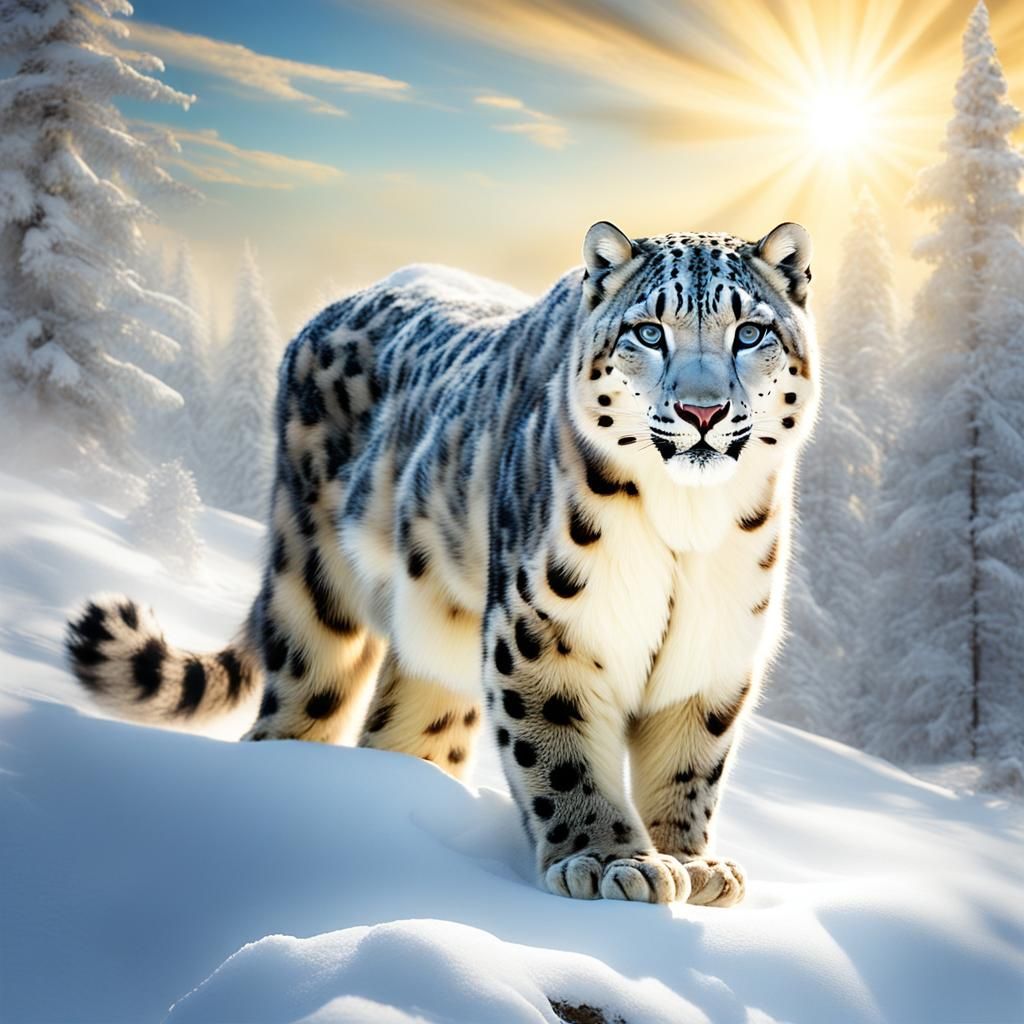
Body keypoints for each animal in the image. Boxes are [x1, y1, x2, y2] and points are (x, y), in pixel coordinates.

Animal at [66, 220, 819, 906]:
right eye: (649, 332)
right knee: (304, 700)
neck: (688, 528)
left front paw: (693, 865)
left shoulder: (715, 646)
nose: (701, 411)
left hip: (434, 654)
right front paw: (610, 863)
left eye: (750, 332)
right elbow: (564, 751)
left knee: (402, 729)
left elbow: (691, 765)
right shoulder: (543, 625)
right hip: (314, 589)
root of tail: (334, 307)